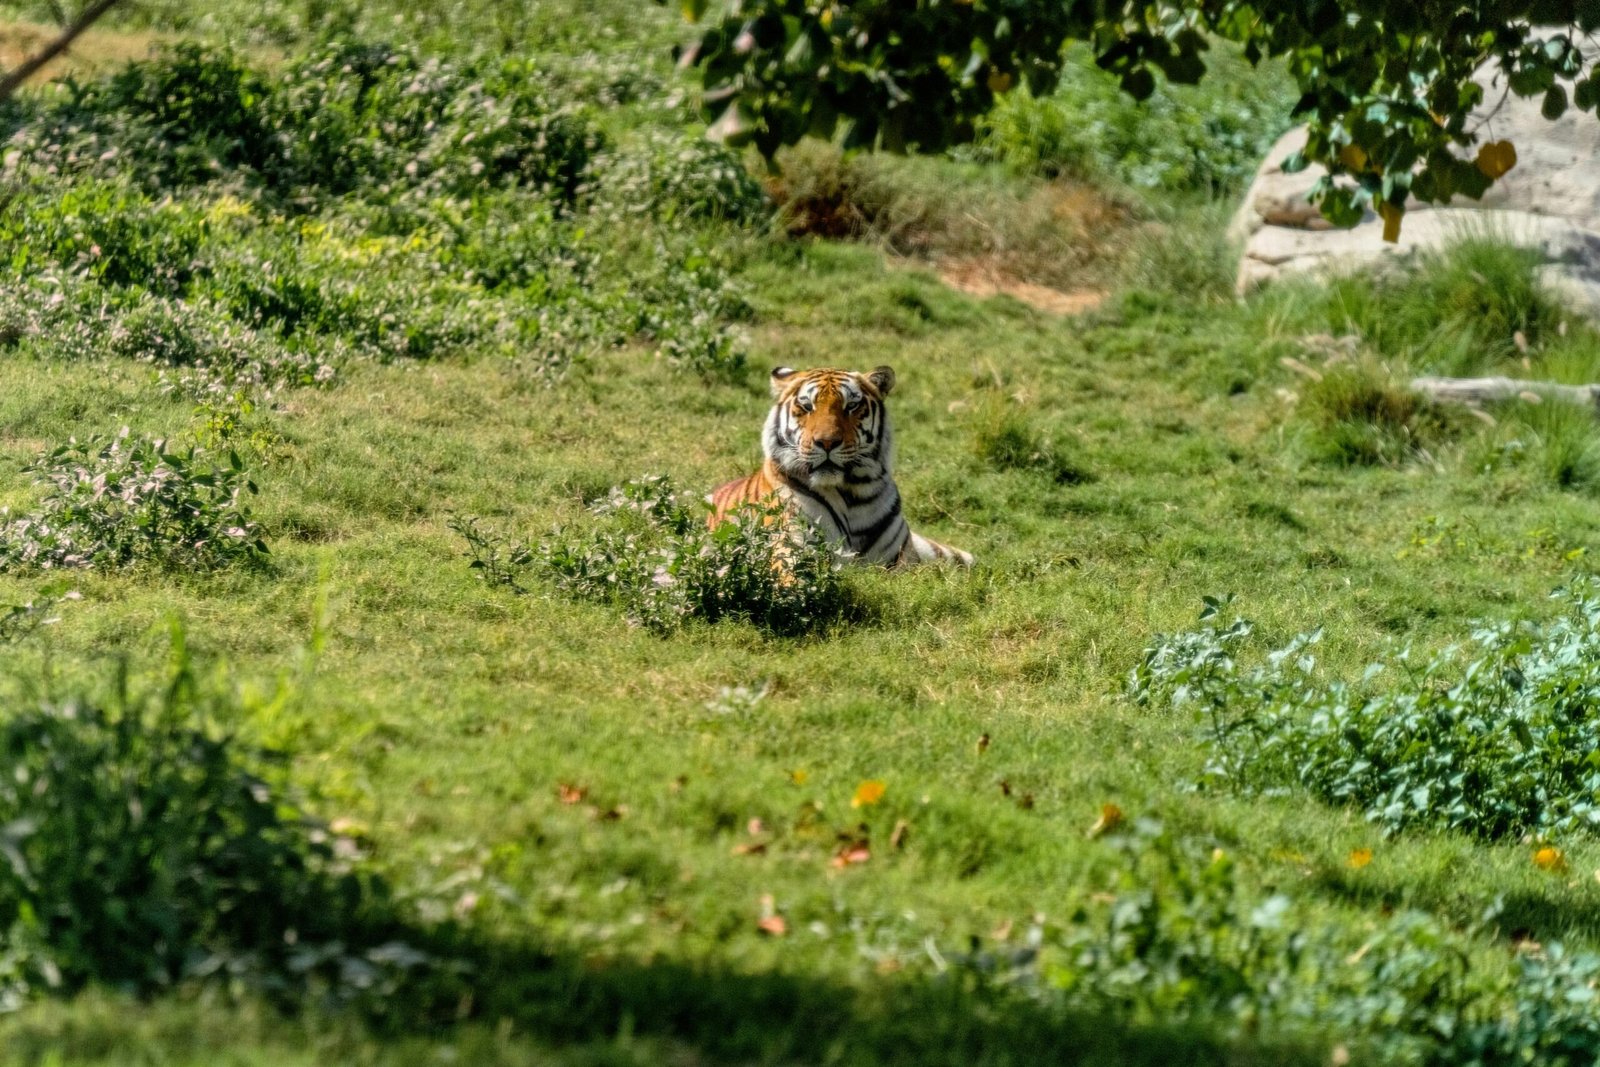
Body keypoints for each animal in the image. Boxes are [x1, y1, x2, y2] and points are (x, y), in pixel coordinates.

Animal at [713, 364, 972, 566]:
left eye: (851, 406)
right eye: (807, 407)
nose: (827, 442)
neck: (852, 494)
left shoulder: (901, 561)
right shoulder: (792, 546)